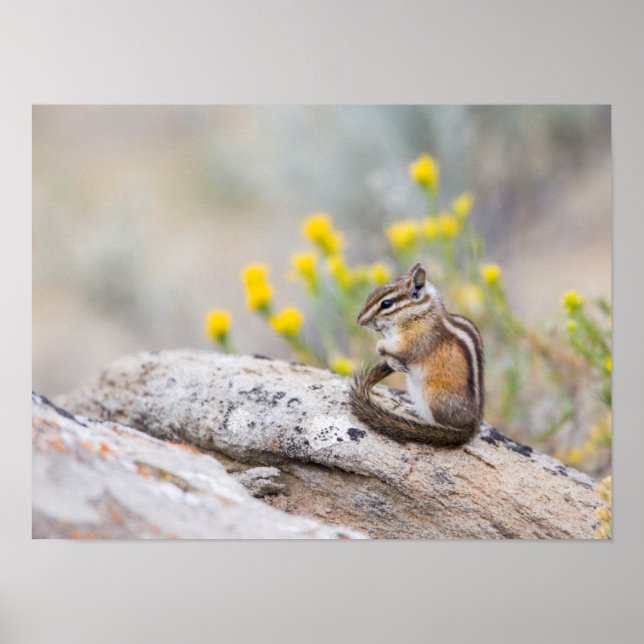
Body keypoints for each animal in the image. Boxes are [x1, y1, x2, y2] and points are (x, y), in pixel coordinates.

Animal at [349, 262, 484, 446]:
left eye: (386, 304)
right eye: (372, 293)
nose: (359, 320)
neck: (420, 313)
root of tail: (471, 428)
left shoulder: (416, 340)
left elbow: (400, 349)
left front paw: (381, 347)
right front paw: (392, 361)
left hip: (431, 392)